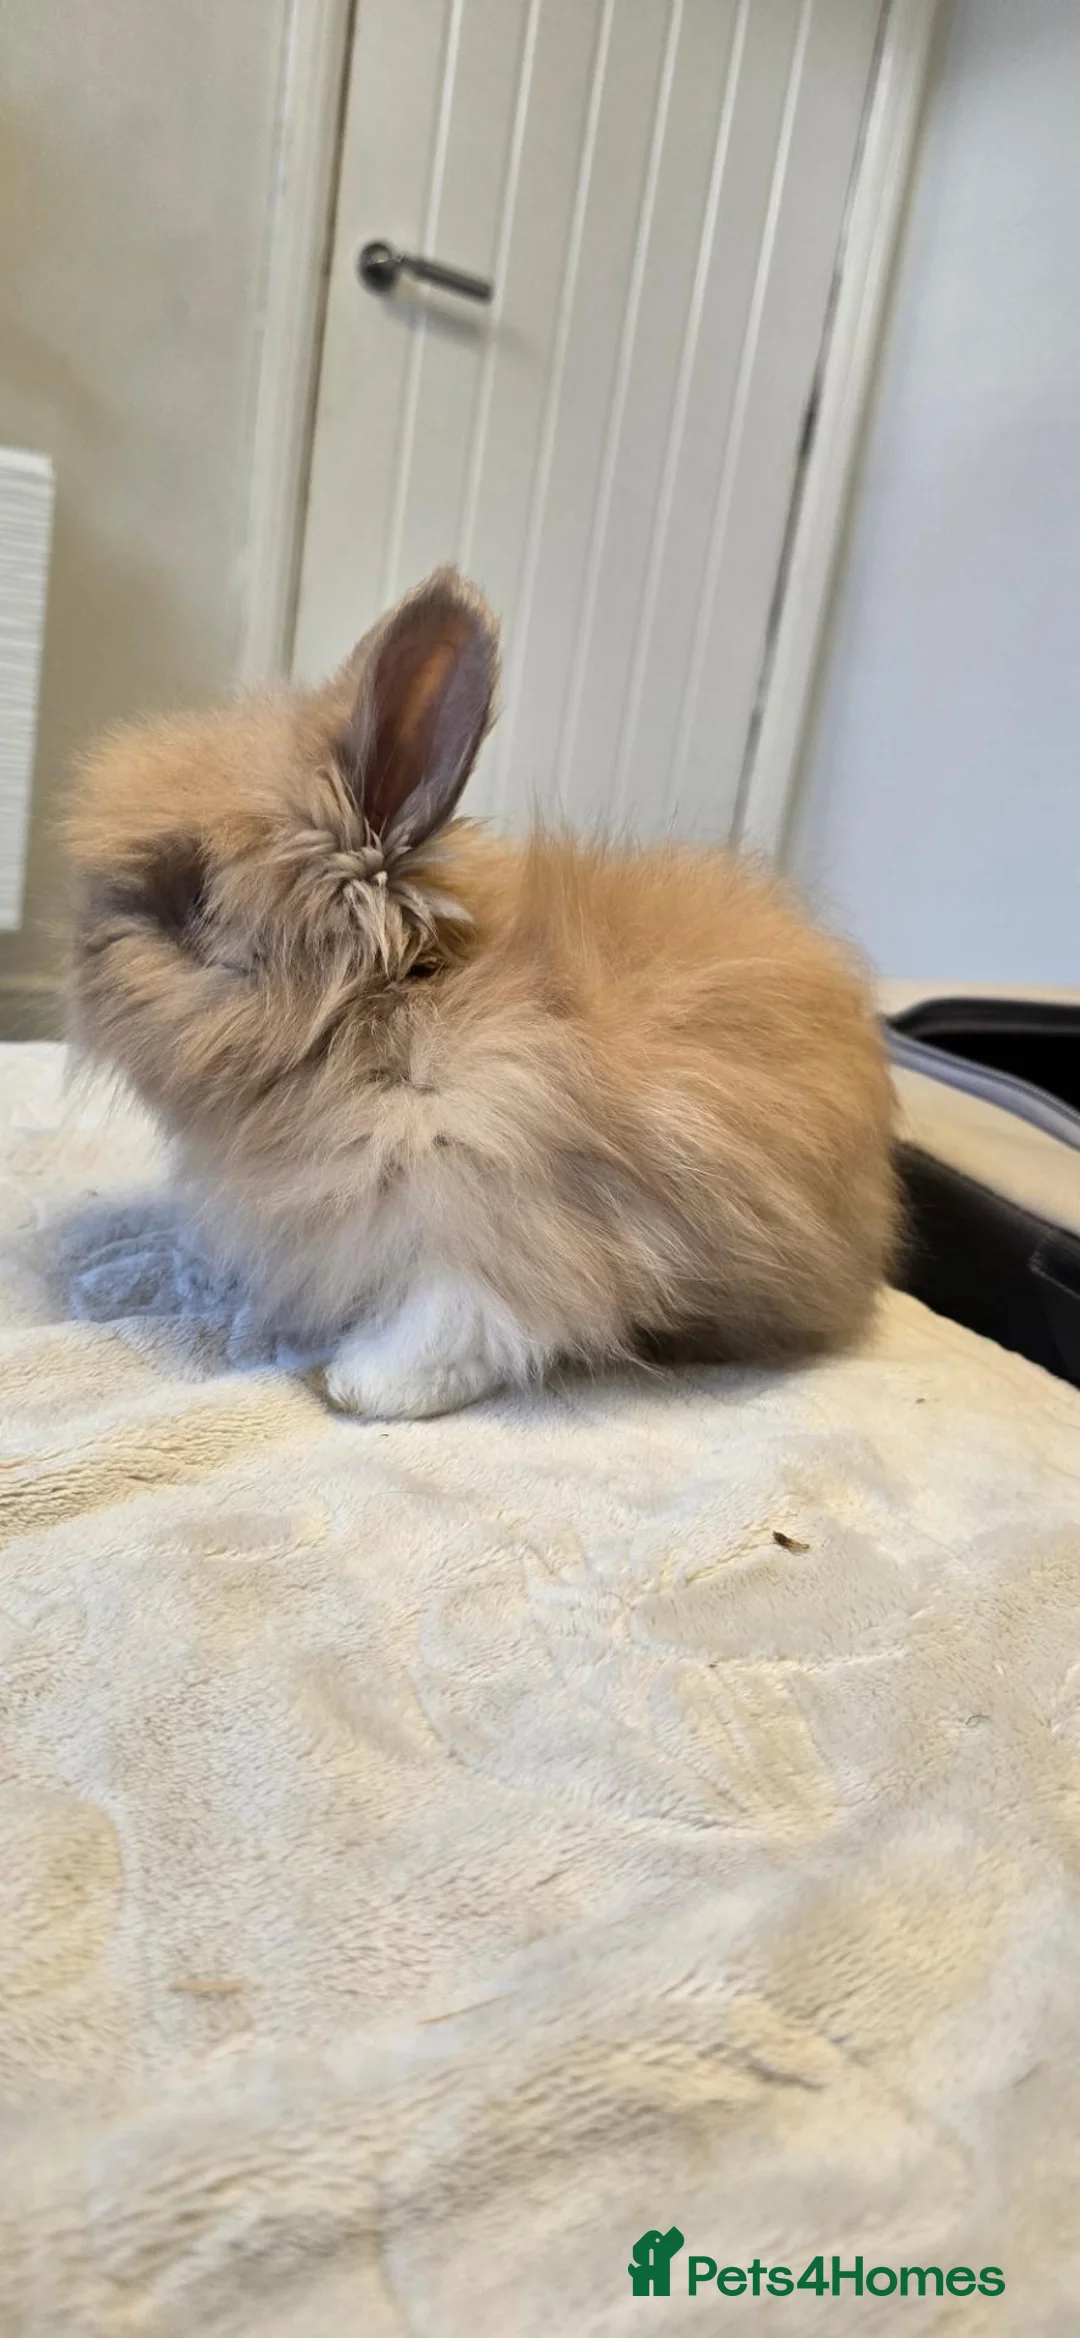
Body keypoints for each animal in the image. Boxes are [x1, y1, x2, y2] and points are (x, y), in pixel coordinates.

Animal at [66, 566, 899, 1420]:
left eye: (196, 899)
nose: (81, 952)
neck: (389, 1009)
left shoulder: (505, 1217)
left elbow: (461, 1325)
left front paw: (359, 1385)